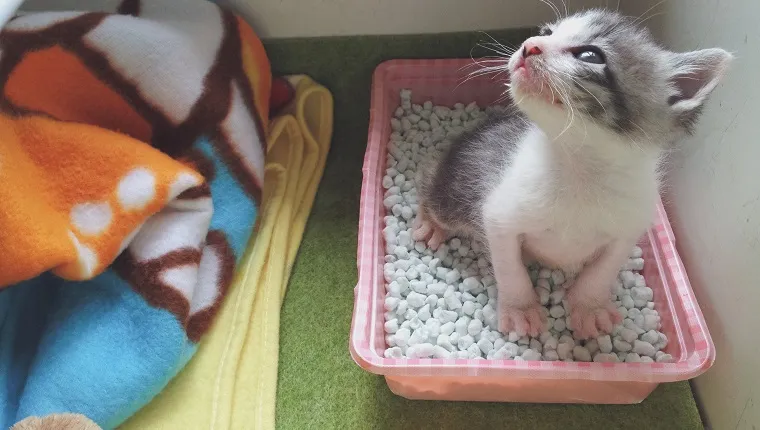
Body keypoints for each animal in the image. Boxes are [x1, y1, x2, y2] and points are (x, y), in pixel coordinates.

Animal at [412, 8, 732, 340]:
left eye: (590, 55)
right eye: (547, 32)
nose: (529, 45)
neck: (579, 167)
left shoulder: (628, 228)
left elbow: (602, 271)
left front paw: (589, 306)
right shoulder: (499, 217)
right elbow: (510, 269)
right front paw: (520, 308)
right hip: (455, 191)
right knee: (430, 182)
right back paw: (431, 222)